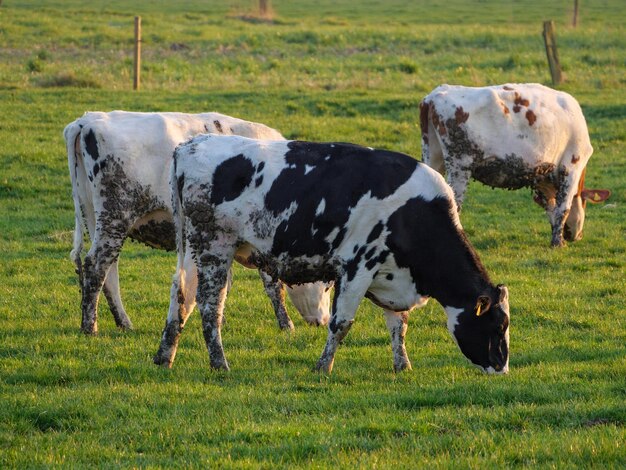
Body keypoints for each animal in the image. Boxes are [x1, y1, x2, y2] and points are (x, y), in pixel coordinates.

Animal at [64, 110, 332, 336]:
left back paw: (123, 322)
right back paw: (90, 327)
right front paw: (286, 325)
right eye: (328, 285)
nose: (323, 321)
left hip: (96, 218)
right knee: (96, 266)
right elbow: (273, 286)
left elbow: (224, 283)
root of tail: (88, 120)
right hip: (115, 217)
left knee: (108, 272)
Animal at [154, 135, 510, 374]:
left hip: (194, 251)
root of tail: (192, 144)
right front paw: (322, 367)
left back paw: (164, 357)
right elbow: (341, 323)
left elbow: (399, 325)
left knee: (181, 297)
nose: (501, 367)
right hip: (214, 246)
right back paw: (219, 364)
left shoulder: (391, 274)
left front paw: (402, 365)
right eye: (497, 325)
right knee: (209, 307)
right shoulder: (358, 266)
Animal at [416, 83, 608, 248]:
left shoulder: (541, 175)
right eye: (585, 202)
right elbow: (563, 208)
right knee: (454, 205)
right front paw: (557, 243)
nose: (576, 235)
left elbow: (551, 208)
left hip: (432, 158)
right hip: (459, 165)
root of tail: (433, 96)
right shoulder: (571, 165)